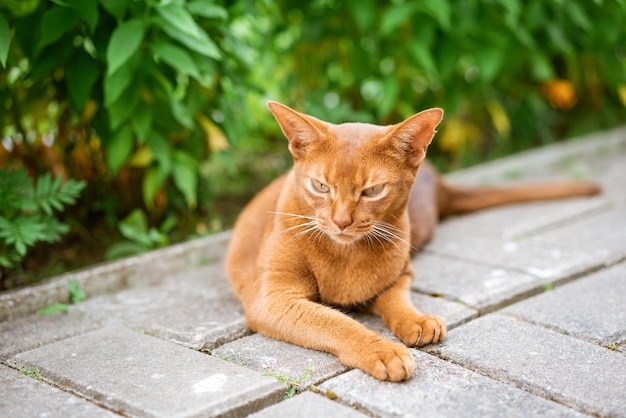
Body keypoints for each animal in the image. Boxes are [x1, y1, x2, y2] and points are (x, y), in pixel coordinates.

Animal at [225, 102, 600, 382]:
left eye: (372, 191)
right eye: (320, 186)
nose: (342, 221)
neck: (345, 256)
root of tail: (440, 181)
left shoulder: (402, 274)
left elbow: (396, 299)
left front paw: (416, 321)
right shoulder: (273, 299)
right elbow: (335, 322)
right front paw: (383, 350)